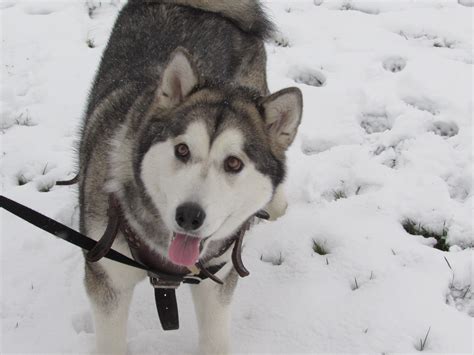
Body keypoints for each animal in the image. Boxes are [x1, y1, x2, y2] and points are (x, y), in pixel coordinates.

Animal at [77, 1, 300, 354]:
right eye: (182, 150)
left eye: (234, 163)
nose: (189, 216)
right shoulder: (107, 275)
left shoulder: (217, 278)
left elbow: (215, 338)